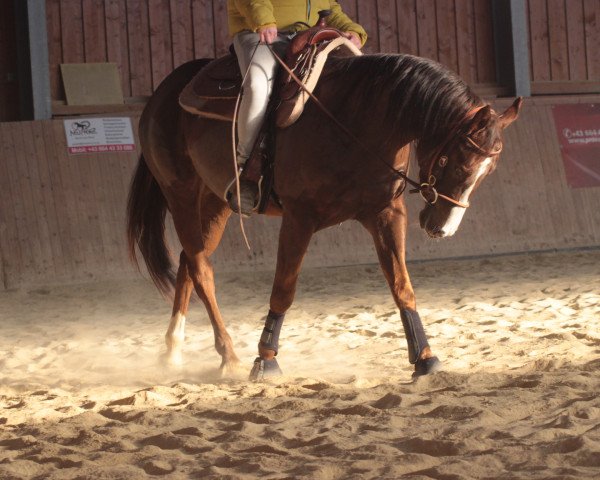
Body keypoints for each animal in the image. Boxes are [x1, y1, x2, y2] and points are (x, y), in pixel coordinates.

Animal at [127, 53, 520, 378]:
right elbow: (284, 290)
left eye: (487, 171)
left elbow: (402, 287)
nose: (442, 227)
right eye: (455, 161)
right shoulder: (299, 219)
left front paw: (425, 358)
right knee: (200, 267)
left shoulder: (386, 213)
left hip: (216, 201)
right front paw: (265, 360)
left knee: (189, 261)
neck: (357, 123)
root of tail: (164, 92)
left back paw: (173, 350)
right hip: (179, 193)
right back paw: (229, 355)